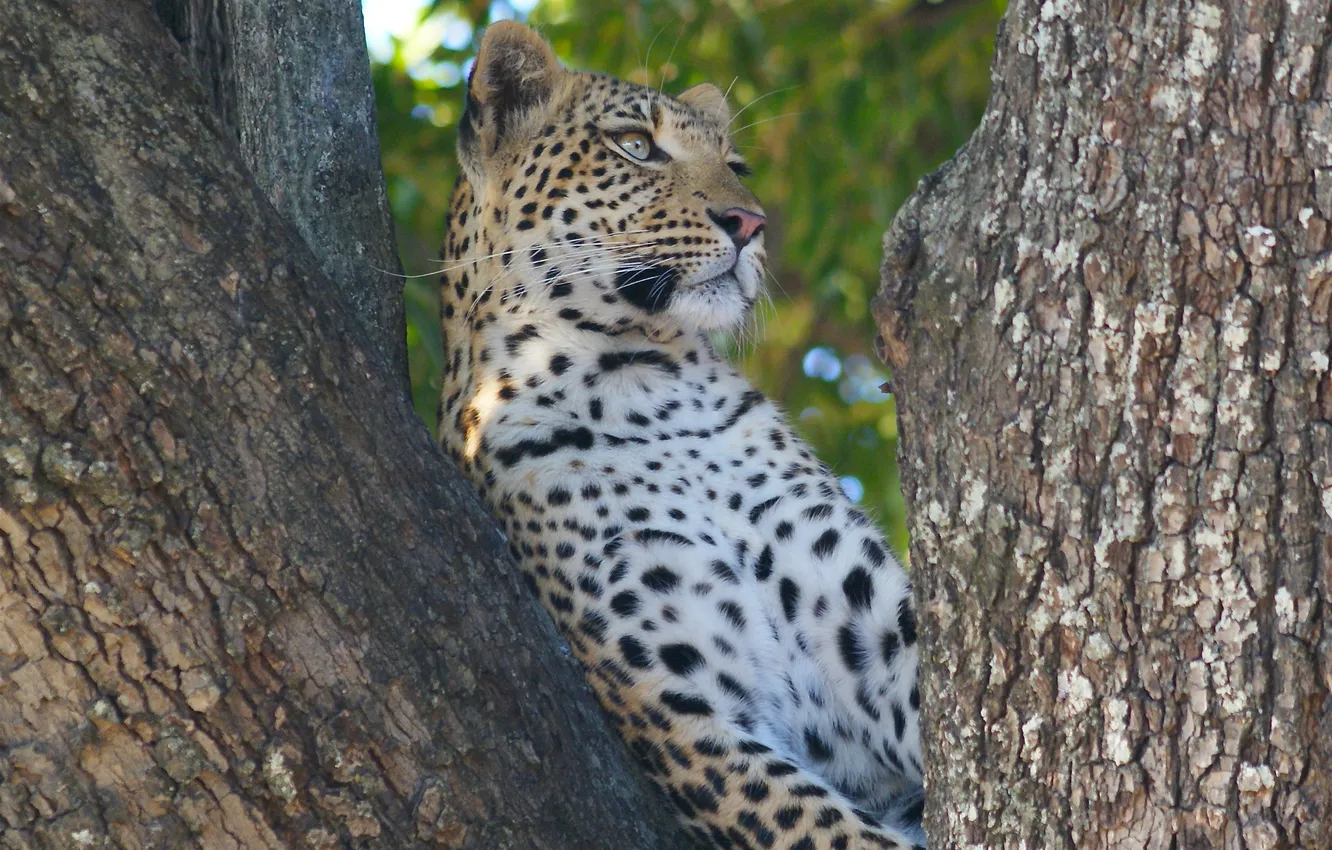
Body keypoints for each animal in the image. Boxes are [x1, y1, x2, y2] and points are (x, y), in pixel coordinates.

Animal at [437, 21, 925, 850]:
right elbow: (833, 830)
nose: (751, 225)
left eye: (737, 165)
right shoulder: (689, 719)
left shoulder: (873, 626)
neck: (644, 382)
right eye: (636, 146)